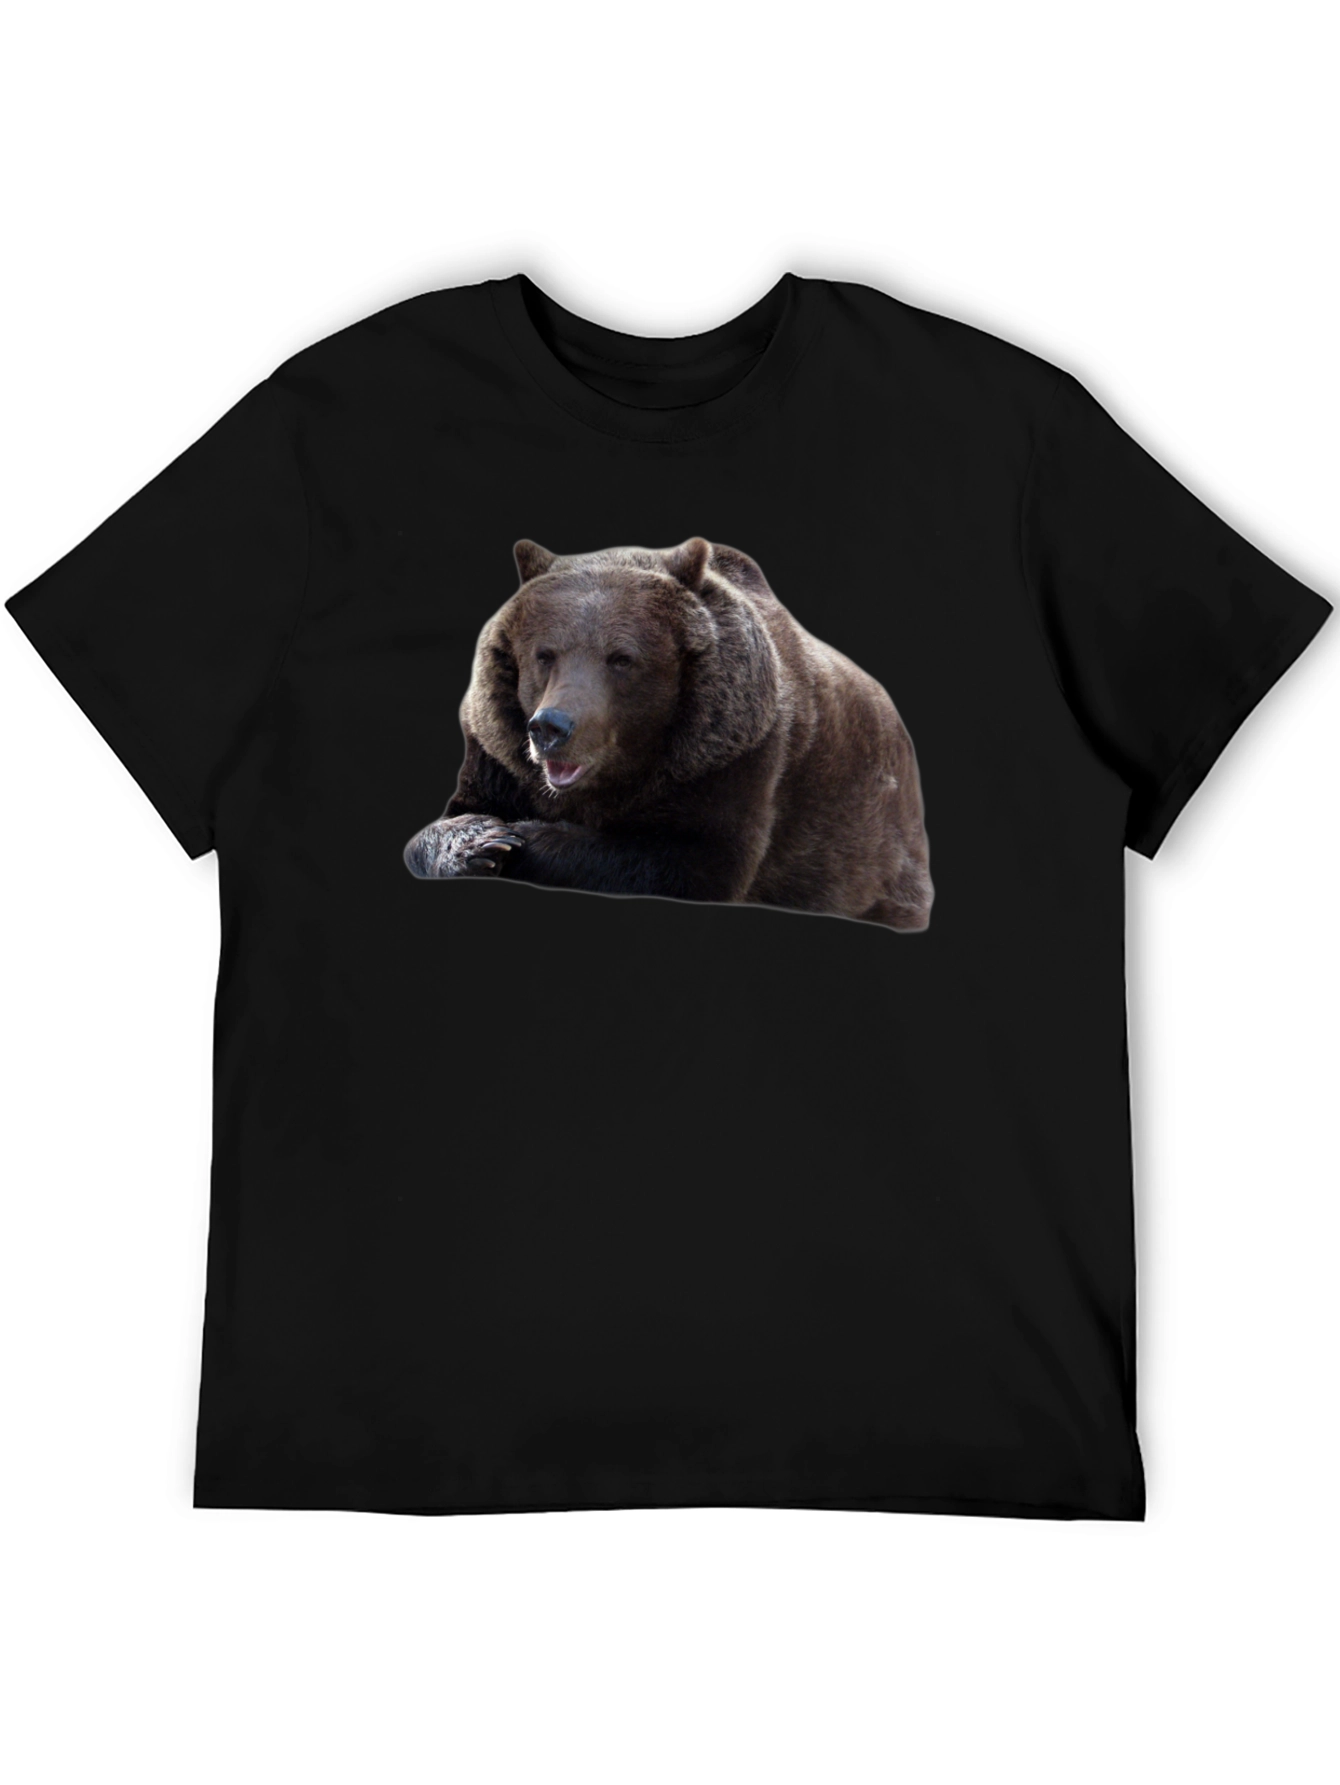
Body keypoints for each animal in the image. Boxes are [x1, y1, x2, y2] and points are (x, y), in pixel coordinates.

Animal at [405, 539, 932, 929]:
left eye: (621, 658)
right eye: (544, 654)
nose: (551, 727)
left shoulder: (734, 752)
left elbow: (688, 859)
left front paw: (521, 838)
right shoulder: (497, 754)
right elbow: (437, 826)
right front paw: (480, 840)